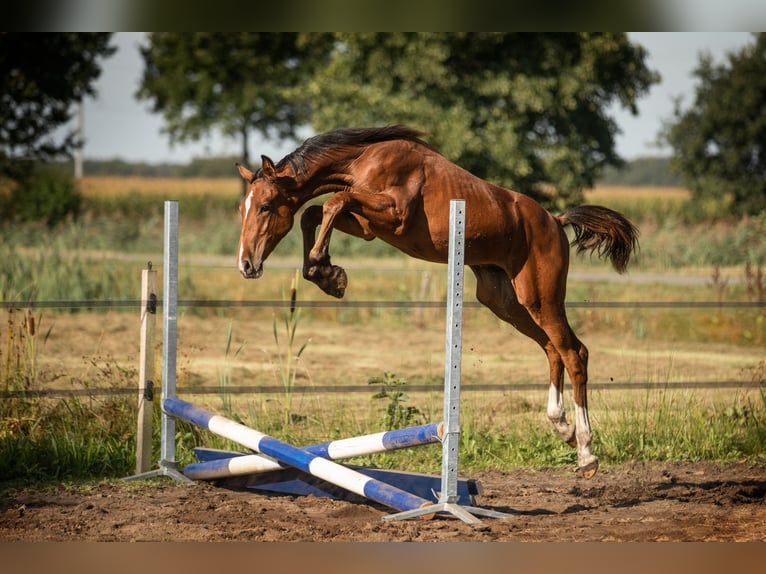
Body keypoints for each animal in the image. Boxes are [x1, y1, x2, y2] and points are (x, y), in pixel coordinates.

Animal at [236, 127, 640, 482]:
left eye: (266, 206)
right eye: (243, 208)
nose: (246, 265)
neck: (363, 160)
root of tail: (555, 220)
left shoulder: (392, 214)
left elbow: (334, 201)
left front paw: (326, 270)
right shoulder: (367, 225)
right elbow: (315, 212)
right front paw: (326, 274)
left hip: (541, 296)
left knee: (574, 352)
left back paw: (586, 452)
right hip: (505, 302)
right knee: (552, 349)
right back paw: (562, 427)